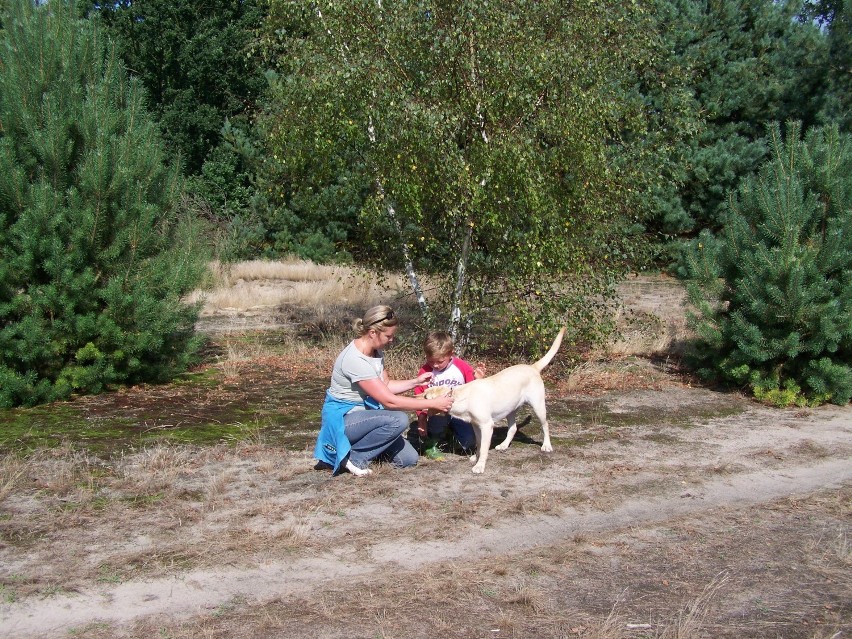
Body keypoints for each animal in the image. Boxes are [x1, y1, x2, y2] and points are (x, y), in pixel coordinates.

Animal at [422, 330, 564, 476]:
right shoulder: (476, 426)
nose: (416, 396)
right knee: (513, 428)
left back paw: (546, 445)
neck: (461, 396)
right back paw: (504, 445)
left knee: (545, 425)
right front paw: (476, 457)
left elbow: (484, 448)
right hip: (510, 409)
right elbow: (479, 444)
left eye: (426, 396)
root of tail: (532, 367)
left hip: (538, 406)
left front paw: (480, 466)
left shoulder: (486, 426)